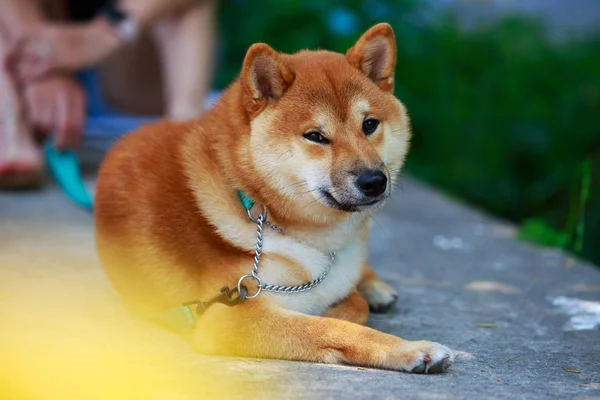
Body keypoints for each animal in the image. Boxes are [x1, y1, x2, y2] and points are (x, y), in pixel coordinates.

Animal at [96, 21, 454, 374]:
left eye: (369, 125)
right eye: (315, 136)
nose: (374, 181)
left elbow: (353, 304)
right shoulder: (229, 316)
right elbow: (336, 326)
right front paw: (412, 350)